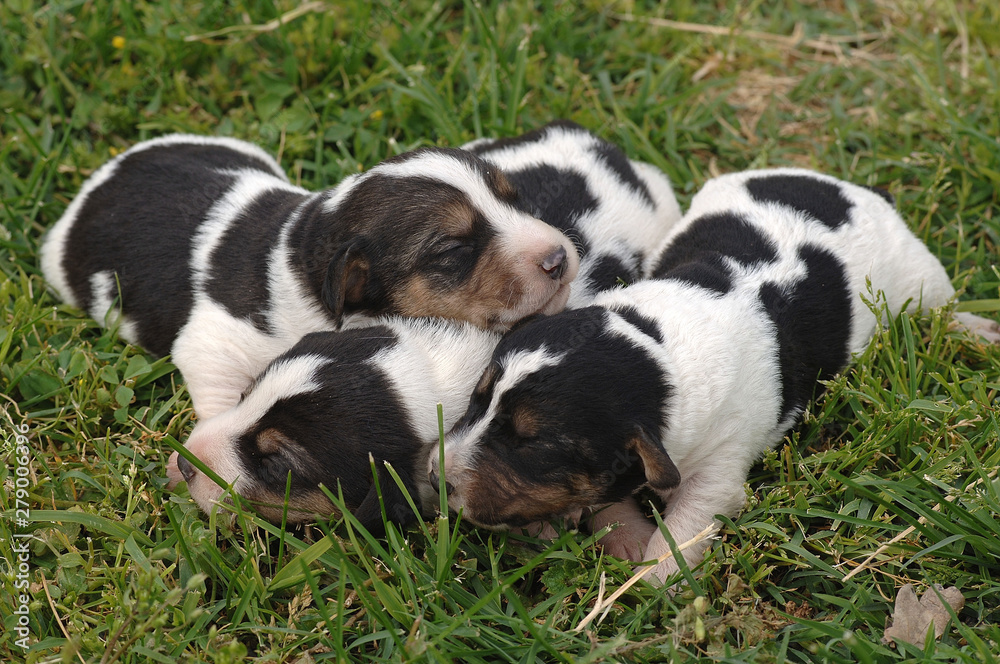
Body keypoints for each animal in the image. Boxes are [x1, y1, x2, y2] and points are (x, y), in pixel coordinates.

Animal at [43, 134, 584, 420]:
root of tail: (100, 180)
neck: (305, 248)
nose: (559, 258)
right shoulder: (216, 341)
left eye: (514, 199)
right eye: (453, 249)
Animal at [436, 169, 1000, 584]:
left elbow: (687, 522)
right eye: (476, 399)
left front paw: (653, 577)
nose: (438, 479)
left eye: (532, 443)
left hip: (919, 276)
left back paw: (977, 329)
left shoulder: (719, 468)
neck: (659, 346)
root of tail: (859, 191)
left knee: (943, 306)